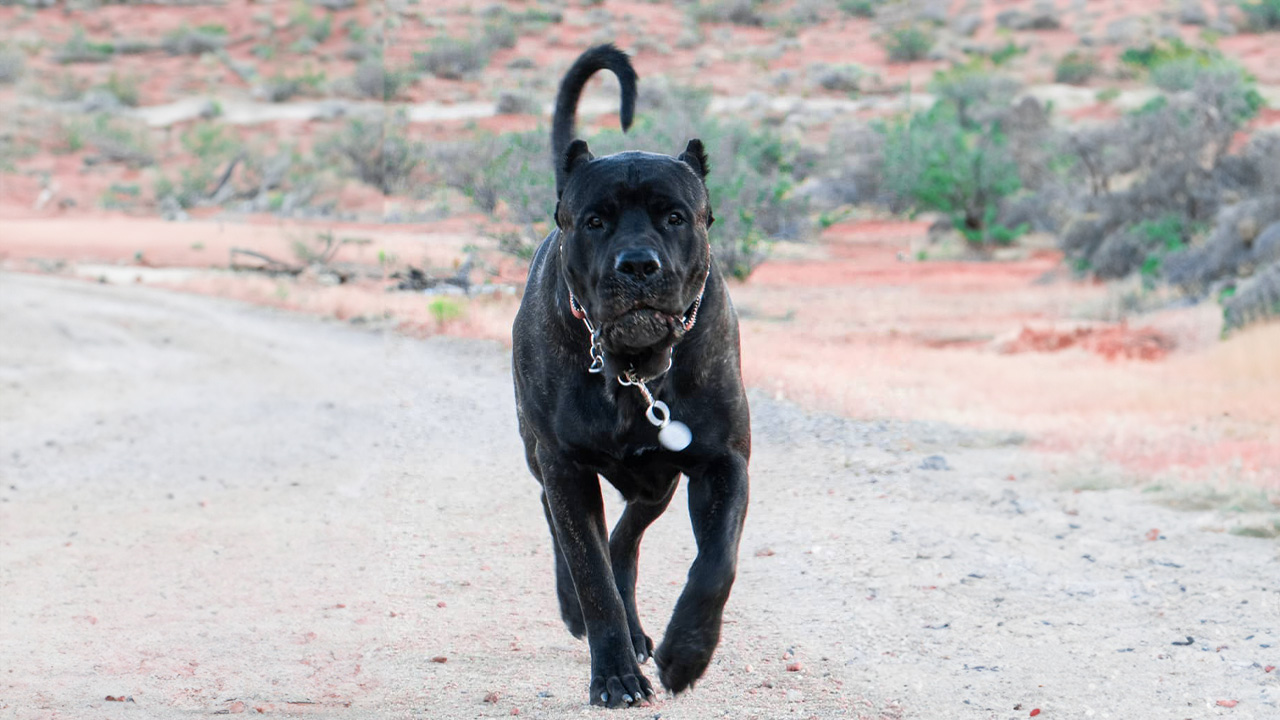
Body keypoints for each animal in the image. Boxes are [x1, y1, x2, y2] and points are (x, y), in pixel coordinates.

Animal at [509, 46, 747, 707]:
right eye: (595, 221)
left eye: (675, 217)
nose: (637, 264)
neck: (635, 369)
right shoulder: (564, 466)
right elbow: (591, 577)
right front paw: (614, 675)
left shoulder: (722, 463)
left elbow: (715, 564)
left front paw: (686, 654)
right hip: (542, 458)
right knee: (566, 529)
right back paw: (578, 611)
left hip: (657, 481)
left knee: (627, 539)